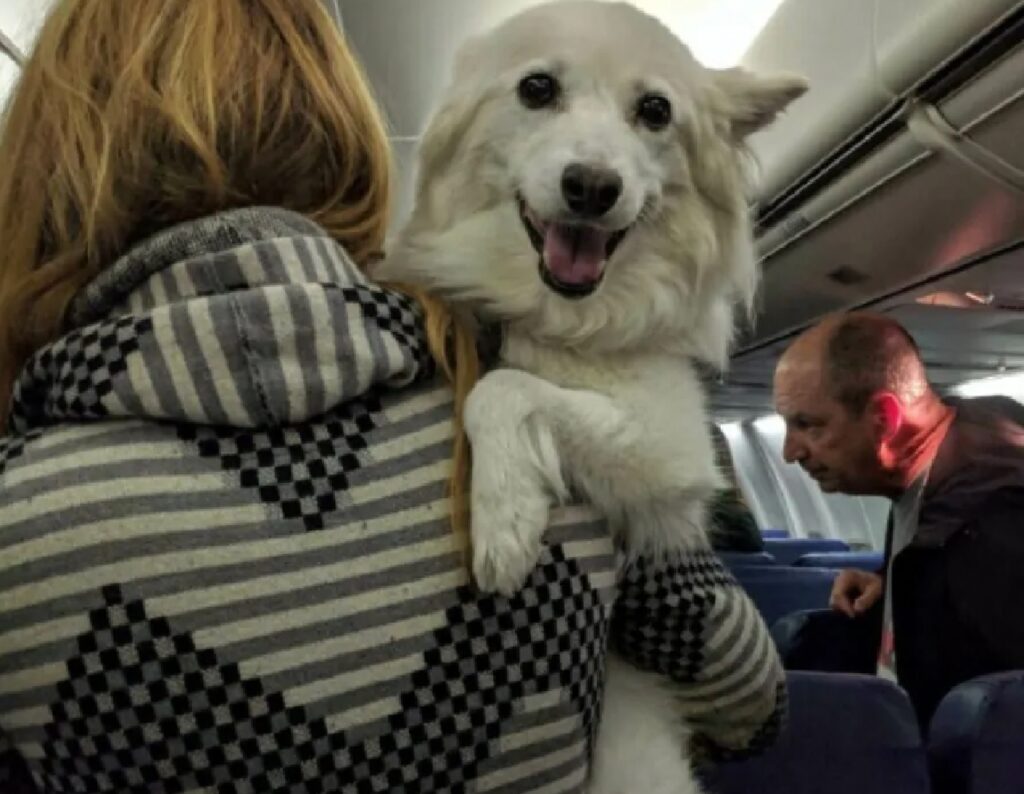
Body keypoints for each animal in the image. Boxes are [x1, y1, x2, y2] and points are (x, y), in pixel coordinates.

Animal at [376, 3, 806, 790]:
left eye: (656, 111)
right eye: (537, 88)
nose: (592, 187)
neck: (558, 317)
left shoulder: (670, 442)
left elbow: (502, 387)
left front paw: (504, 517)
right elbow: (504, 382)